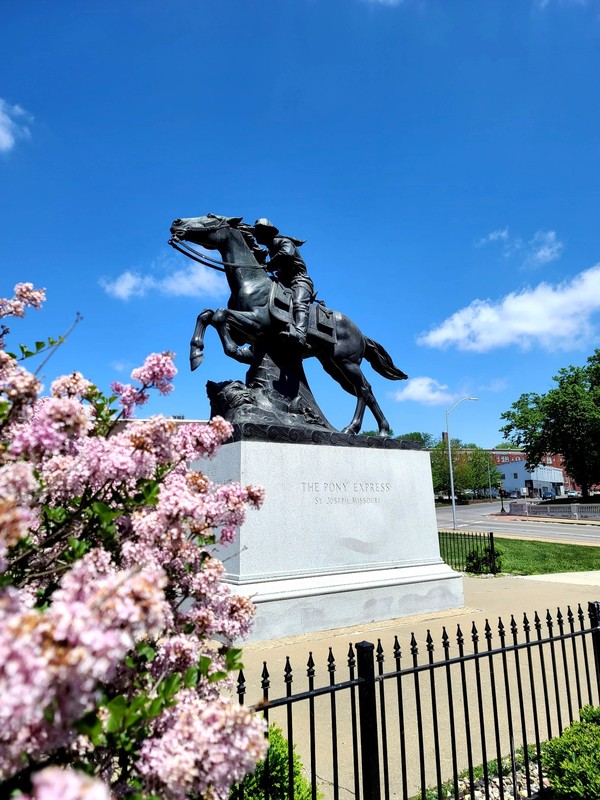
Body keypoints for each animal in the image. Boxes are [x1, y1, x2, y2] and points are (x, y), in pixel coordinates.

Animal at [168, 214, 408, 438]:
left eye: (211, 217)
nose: (176, 222)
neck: (251, 281)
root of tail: (360, 332)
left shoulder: (257, 323)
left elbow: (220, 315)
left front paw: (234, 352)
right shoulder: (248, 333)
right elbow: (207, 314)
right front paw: (196, 353)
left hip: (347, 362)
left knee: (363, 389)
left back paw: (353, 428)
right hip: (333, 365)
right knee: (365, 390)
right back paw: (380, 431)